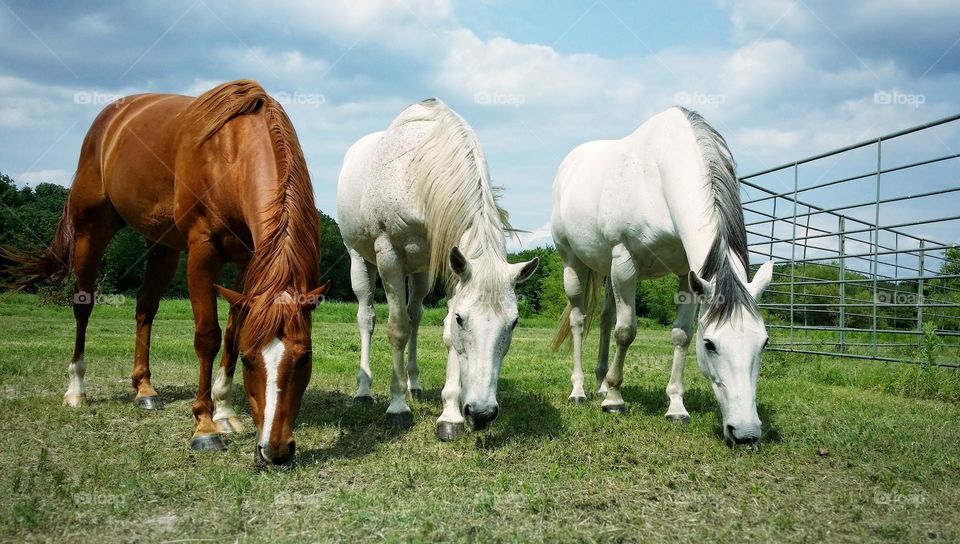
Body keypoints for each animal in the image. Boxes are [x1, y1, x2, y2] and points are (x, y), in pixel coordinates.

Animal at [3, 80, 328, 465]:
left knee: (145, 307)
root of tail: (108, 120)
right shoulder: (202, 251)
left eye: (305, 358)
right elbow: (207, 336)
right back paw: (76, 390)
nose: (275, 450)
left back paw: (144, 390)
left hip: (162, 246)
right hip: (91, 232)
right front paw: (205, 426)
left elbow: (233, 332)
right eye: (250, 362)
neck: (231, 153)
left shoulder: (248, 261)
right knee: (83, 307)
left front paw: (224, 411)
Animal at [336, 98, 538, 441]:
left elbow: (440, 335)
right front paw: (397, 408)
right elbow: (397, 328)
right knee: (368, 317)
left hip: (418, 272)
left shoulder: (451, 261)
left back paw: (414, 385)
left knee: (415, 315)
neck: (417, 174)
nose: (481, 414)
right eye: (462, 320)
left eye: (513, 323)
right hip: (360, 260)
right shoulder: (388, 254)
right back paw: (365, 391)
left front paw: (450, 416)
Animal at [551, 106, 773, 448]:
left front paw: (676, 407)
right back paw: (580, 390)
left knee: (605, 318)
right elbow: (626, 332)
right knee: (578, 320)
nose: (746, 434)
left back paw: (601, 383)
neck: (660, 175)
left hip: (605, 270)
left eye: (763, 342)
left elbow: (680, 334)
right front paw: (615, 400)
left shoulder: (687, 275)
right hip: (573, 263)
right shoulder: (625, 262)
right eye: (710, 344)